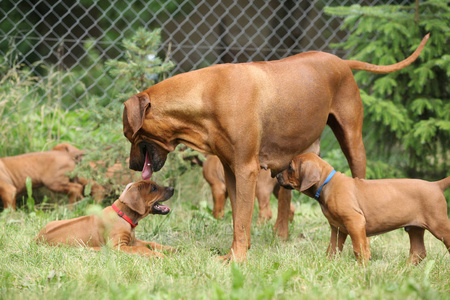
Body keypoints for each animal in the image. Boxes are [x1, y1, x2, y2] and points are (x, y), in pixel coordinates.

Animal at [35, 180, 175, 258]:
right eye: (154, 188)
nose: (173, 188)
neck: (123, 216)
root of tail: (36, 239)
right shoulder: (118, 245)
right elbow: (141, 248)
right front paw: (158, 255)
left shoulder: (132, 241)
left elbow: (151, 243)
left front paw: (171, 249)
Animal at [122, 34, 428, 260]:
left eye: (128, 134)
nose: (132, 165)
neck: (207, 94)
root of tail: (340, 60)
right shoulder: (231, 171)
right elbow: (238, 217)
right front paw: (237, 252)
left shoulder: (246, 170)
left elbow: (242, 219)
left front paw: (237, 258)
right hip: (294, 155)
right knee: (285, 197)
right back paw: (281, 234)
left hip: (353, 140)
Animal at [278, 154, 450, 264]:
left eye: (290, 167)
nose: (277, 176)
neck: (328, 184)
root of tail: (436, 185)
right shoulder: (338, 228)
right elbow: (333, 249)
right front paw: (328, 266)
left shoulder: (355, 221)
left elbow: (359, 250)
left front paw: (363, 268)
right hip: (414, 227)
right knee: (419, 252)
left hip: (438, 224)